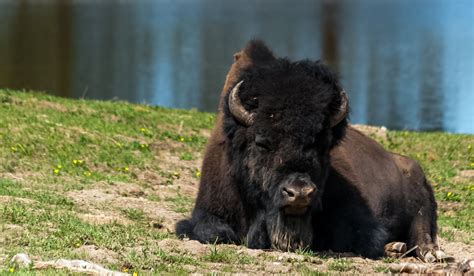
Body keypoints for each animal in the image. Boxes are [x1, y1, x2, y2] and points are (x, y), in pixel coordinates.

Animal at [177, 40, 448, 260]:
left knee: (422, 232)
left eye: (321, 144)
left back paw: (429, 254)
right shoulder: (206, 213)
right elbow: (212, 232)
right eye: (262, 142)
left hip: (420, 199)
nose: (299, 193)